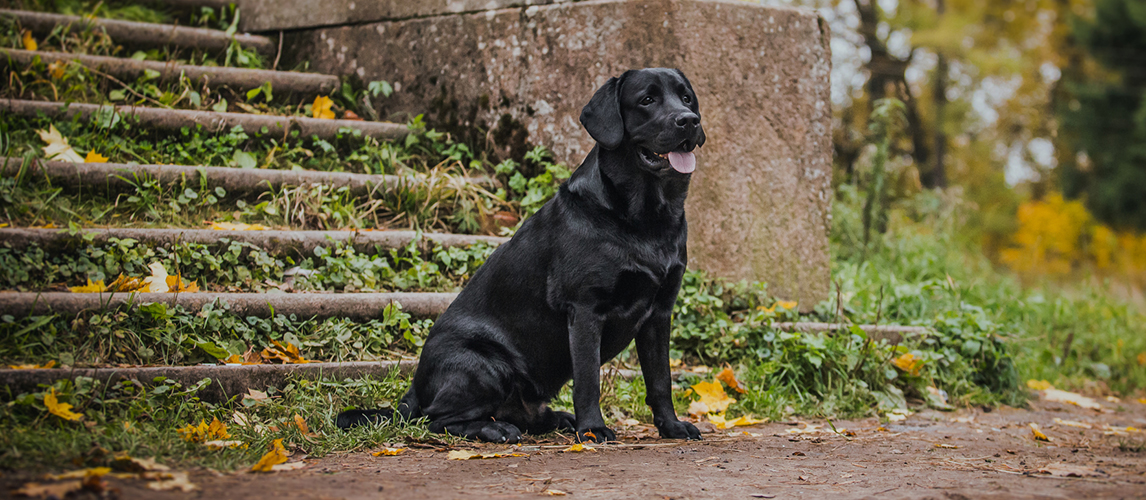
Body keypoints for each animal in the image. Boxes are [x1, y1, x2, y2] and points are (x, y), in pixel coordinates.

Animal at [334, 68, 701, 442]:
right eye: (647, 100)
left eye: (687, 98)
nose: (689, 120)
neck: (646, 220)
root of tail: (413, 391)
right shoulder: (585, 309)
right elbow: (588, 381)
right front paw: (592, 430)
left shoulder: (659, 313)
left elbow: (660, 379)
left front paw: (671, 426)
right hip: (483, 364)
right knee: (436, 419)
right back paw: (496, 429)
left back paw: (555, 419)